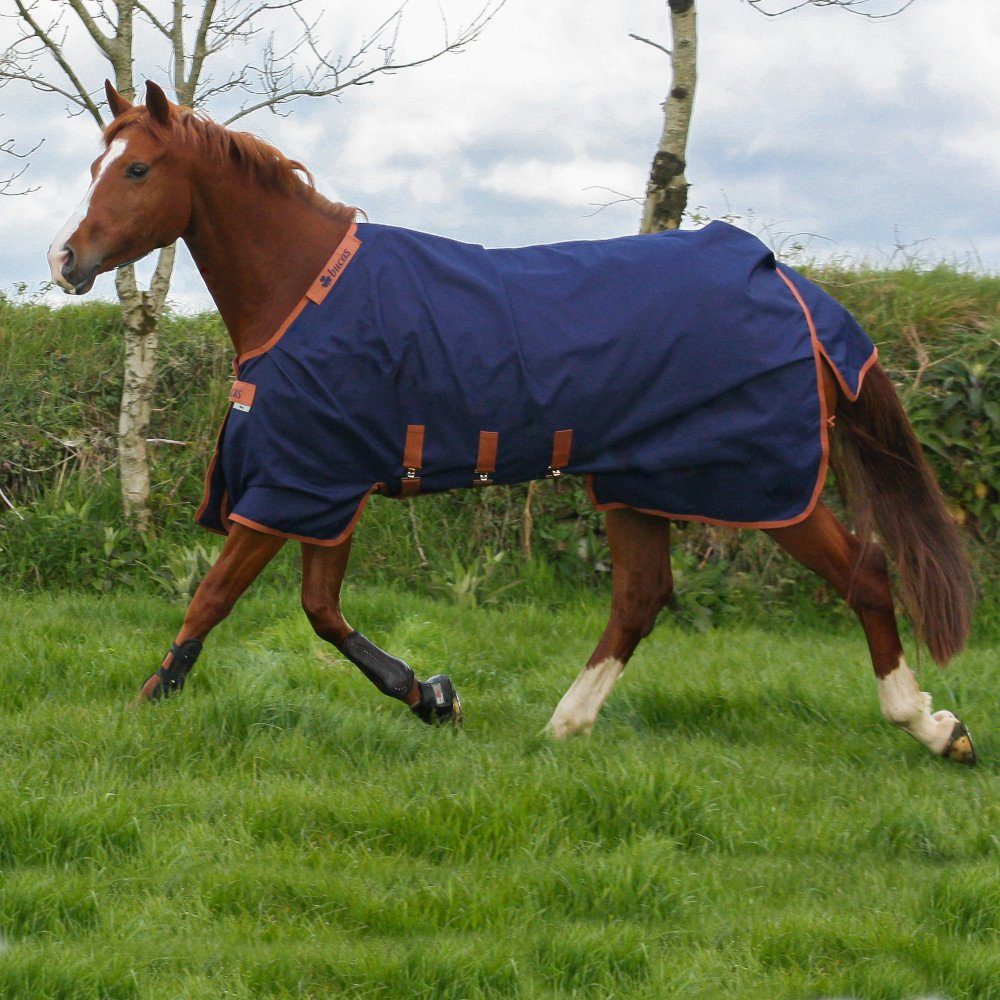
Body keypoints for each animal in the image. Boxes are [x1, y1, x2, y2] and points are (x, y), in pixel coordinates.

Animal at [47, 80, 977, 763]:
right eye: (97, 161)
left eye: (137, 170)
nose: (66, 259)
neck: (305, 289)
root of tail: (790, 287)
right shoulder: (326, 486)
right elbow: (320, 611)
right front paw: (432, 698)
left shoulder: (302, 481)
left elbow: (215, 598)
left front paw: (146, 700)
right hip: (637, 480)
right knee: (641, 598)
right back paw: (563, 725)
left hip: (757, 481)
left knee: (863, 573)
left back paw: (933, 728)